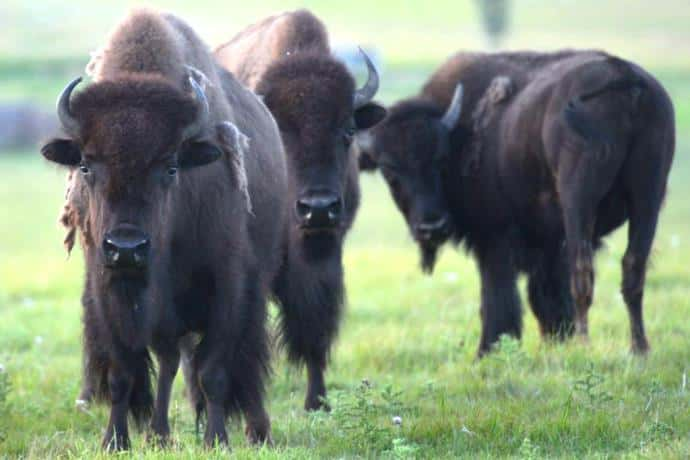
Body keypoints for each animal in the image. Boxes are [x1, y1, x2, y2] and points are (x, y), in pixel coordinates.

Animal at [43, 9, 286, 450]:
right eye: (85, 165)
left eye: (171, 167)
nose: (126, 248)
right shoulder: (108, 294)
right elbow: (123, 373)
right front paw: (115, 440)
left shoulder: (227, 287)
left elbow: (214, 371)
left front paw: (216, 440)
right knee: (170, 362)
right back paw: (159, 434)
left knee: (241, 360)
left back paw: (257, 430)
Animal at [214, 9, 384, 410]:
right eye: (280, 131)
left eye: (348, 130)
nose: (318, 209)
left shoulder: (326, 257)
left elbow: (316, 323)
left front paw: (317, 401)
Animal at [358, 52, 676, 358]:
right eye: (388, 169)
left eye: (441, 159)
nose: (431, 227)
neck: (461, 131)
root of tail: (623, 76)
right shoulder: (545, 245)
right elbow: (545, 296)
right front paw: (553, 342)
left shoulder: (495, 239)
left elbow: (498, 297)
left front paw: (488, 351)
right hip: (648, 196)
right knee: (633, 268)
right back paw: (639, 350)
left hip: (579, 200)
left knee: (583, 271)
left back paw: (585, 346)